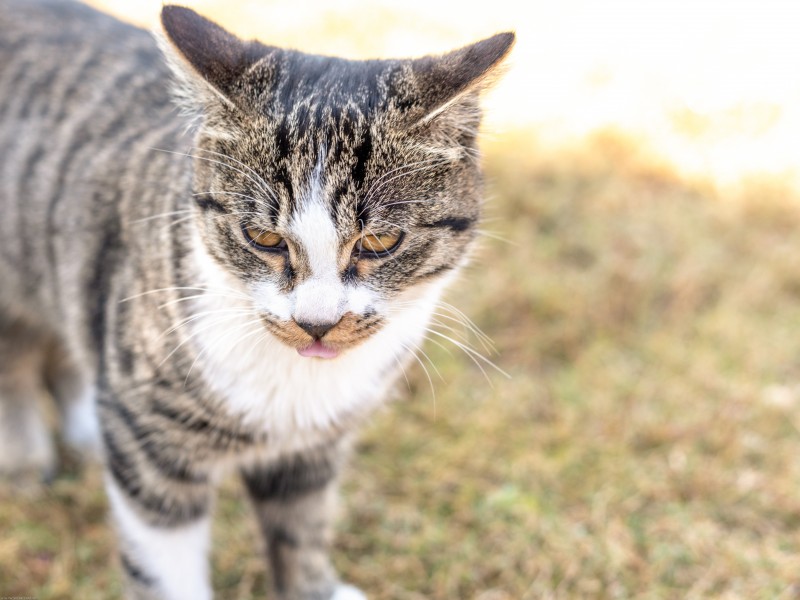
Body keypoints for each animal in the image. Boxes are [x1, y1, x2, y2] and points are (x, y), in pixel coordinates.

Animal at [0, 2, 512, 596]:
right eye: (262, 237)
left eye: (380, 241)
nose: (317, 323)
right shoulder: (153, 447)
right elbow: (164, 567)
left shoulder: (311, 453)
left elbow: (301, 531)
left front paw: (315, 587)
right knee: (16, 356)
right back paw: (25, 457)